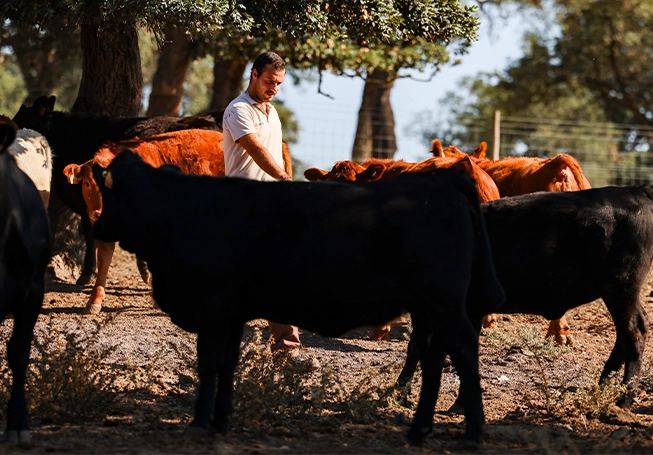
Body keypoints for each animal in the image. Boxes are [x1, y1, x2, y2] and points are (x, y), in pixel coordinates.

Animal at [91, 149, 505, 445]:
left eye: (112, 191)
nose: (96, 226)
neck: (184, 209)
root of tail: (445, 182)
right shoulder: (233, 313)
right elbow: (227, 364)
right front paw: (220, 420)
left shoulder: (212, 305)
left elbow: (209, 364)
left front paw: (197, 424)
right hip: (428, 308)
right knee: (434, 357)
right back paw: (419, 431)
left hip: (444, 303)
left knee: (463, 347)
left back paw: (472, 431)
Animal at [399, 185, 653, 413]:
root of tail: (634, 191)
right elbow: (419, 347)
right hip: (619, 293)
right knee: (625, 335)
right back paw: (601, 390)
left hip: (620, 289)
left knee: (634, 333)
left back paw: (622, 401)